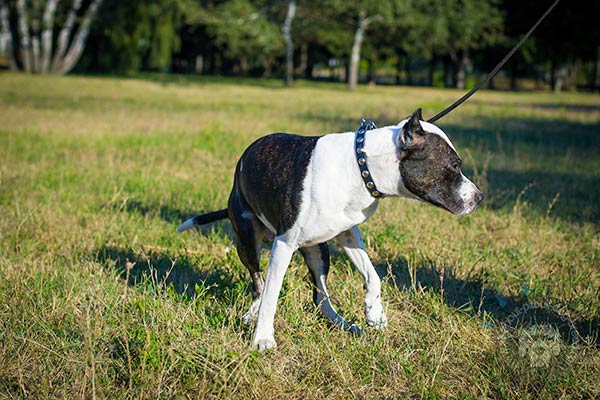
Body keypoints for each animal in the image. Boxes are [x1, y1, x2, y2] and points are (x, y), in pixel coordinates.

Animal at [178, 109, 482, 350]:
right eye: (454, 165)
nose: (479, 197)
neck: (362, 166)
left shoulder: (348, 234)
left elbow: (373, 276)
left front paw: (374, 313)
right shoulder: (284, 244)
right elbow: (271, 295)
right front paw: (263, 339)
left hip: (317, 251)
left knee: (320, 298)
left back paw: (344, 324)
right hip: (247, 240)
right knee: (258, 283)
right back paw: (252, 313)